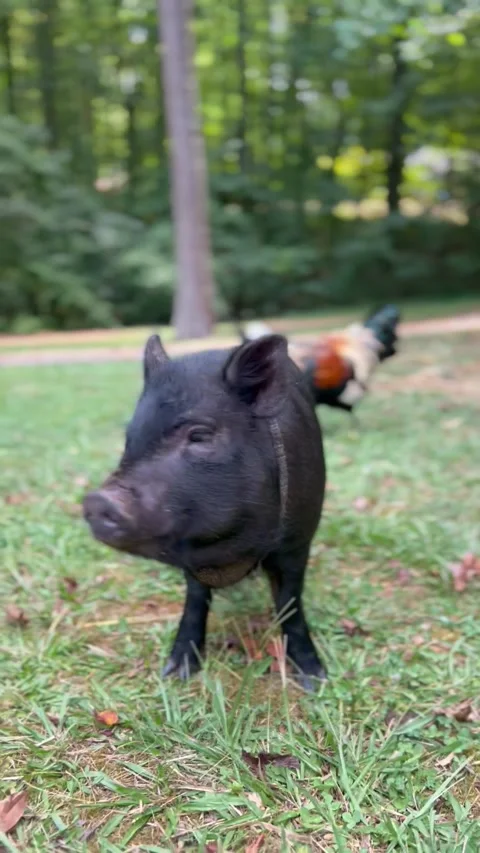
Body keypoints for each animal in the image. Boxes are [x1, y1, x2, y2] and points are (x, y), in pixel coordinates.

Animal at [83, 332, 326, 690]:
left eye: (199, 435)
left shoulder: (298, 539)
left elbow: (290, 603)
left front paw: (314, 679)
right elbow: (196, 599)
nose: (98, 501)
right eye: (130, 440)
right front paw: (175, 673)